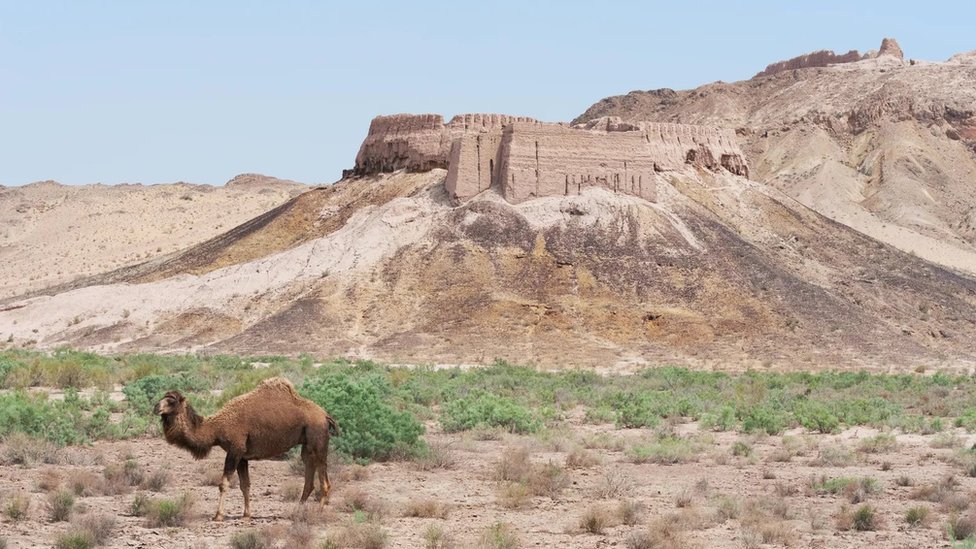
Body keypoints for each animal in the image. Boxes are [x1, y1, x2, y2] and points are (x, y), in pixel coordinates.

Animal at [151, 376, 338, 520]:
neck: (216, 428)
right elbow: (245, 485)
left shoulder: (235, 450)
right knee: (308, 473)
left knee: (324, 480)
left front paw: (218, 515)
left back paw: (318, 512)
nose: (155, 407)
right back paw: (298, 510)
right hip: (307, 445)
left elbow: (224, 483)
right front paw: (247, 514)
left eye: (172, 401)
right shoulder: (242, 456)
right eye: (163, 398)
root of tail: (325, 415)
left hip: (318, 439)